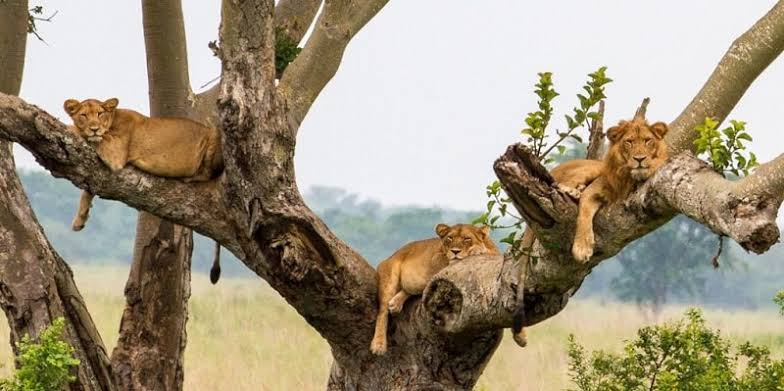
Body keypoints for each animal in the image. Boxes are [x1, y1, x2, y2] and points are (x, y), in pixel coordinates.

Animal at [64, 97, 225, 284]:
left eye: (100, 113)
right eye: (83, 115)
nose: (94, 128)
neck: (112, 119)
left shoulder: (115, 152)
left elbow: (91, 137)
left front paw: (70, 127)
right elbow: (87, 191)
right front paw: (79, 220)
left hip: (214, 134)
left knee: (210, 173)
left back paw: (191, 177)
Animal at [370, 224, 502, 356]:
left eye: (467, 239)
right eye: (450, 238)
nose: (455, 251)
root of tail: (391, 256)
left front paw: (477, 249)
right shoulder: (437, 259)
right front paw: (476, 250)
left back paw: (396, 303)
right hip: (389, 276)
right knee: (382, 312)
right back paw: (378, 345)